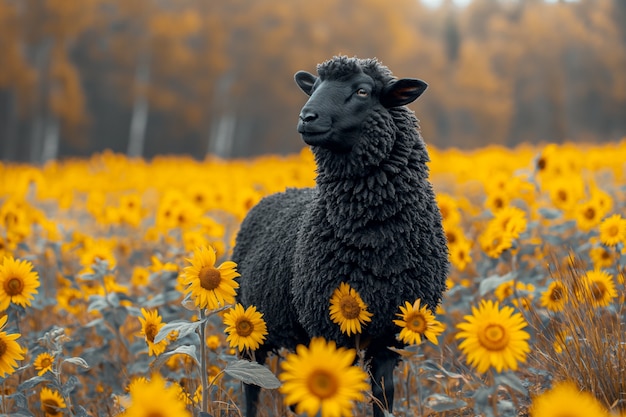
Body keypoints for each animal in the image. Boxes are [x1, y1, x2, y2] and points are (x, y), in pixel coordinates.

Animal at [232, 56, 446, 416]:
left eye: (362, 91)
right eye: (315, 87)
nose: (306, 117)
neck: (376, 245)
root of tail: (279, 193)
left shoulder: (388, 334)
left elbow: (383, 395)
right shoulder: (328, 328)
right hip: (250, 324)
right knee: (251, 386)